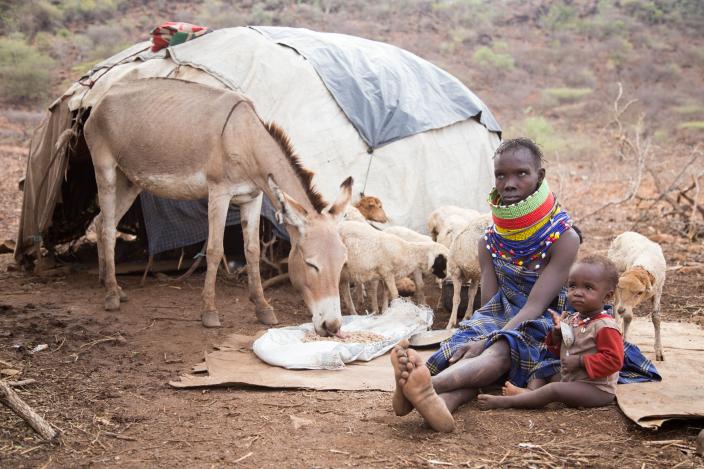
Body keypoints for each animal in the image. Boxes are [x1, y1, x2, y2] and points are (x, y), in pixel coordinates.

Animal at [604, 232, 664, 360]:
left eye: (639, 292)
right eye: (621, 288)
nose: (622, 310)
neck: (642, 267)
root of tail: (626, 232)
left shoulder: (658, 290)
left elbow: (656, 318)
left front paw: (659, 351)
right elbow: (627, 316)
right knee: (616, 306)